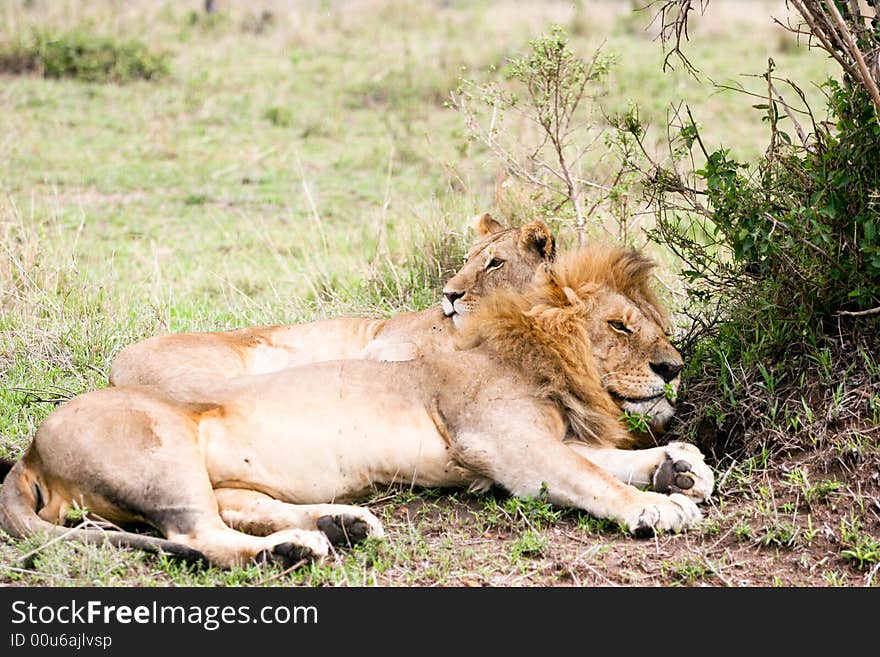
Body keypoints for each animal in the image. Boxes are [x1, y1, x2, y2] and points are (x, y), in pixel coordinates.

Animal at [0, 243, 712, 568]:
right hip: (161, 449)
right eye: (619, 326)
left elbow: (605, 457)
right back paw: (294, 551)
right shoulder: (506, 444)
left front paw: (679, 466)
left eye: (653, 323)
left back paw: (341, 526)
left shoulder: (536, 441)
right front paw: (655, 506)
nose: (674, 367)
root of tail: (29, 452)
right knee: (200, 536)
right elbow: (590, 475)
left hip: (214, 474)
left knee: (235, 509)